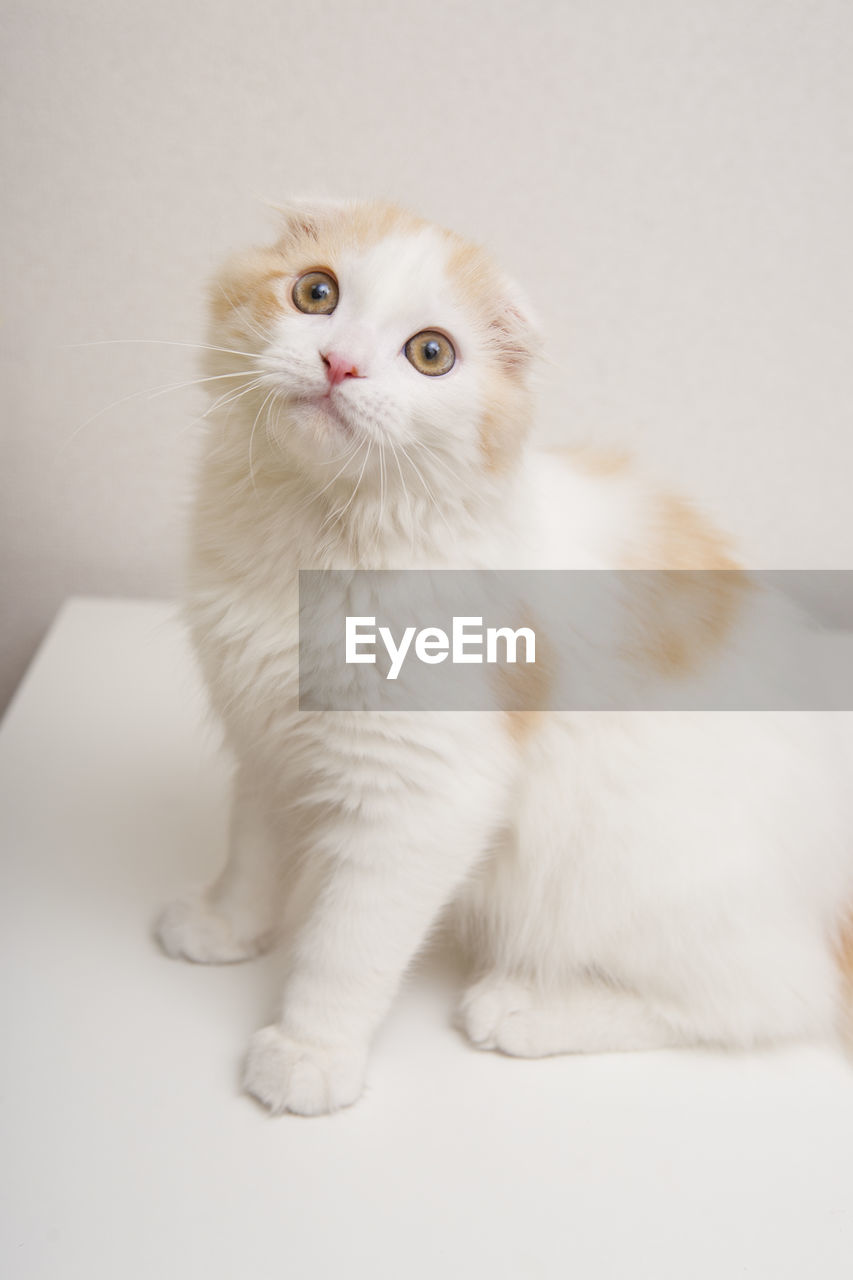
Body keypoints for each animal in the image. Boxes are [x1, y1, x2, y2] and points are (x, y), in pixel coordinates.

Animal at [154, 197, 850, 1111]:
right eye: (315, 293)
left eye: (430, 353)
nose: (340, 363)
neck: (309, 544)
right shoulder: (267, 740)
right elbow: (253, 854)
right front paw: (224, 925)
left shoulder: (425, 793)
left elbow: (347, 945)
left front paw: (311, 1053)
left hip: (624, 874)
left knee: (773, 999)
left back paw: (528, 1008)